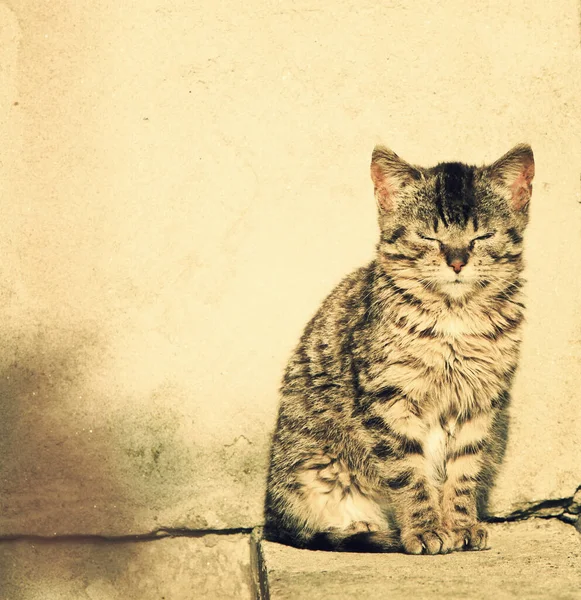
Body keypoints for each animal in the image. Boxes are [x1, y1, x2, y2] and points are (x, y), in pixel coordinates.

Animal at [262, 143, 536, 556]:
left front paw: (461, 524)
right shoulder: (389, 399)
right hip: (311, 473)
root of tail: (272, 518)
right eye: (428, 238)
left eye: (482, 236)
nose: (458, 261)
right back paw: (363, 527)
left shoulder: (480, 402)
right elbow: (409, 473)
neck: (454, 318)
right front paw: (425, 529)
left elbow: (463, 471)